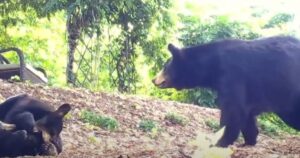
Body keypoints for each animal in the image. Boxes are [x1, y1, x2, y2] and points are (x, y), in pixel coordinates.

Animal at [152, 35, 300, 147]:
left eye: (165, 67)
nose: (154, 80)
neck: (212, 65)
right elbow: (246, 115)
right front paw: (248, 142)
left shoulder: (234, 75)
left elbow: (233, 110)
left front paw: (220, 141)